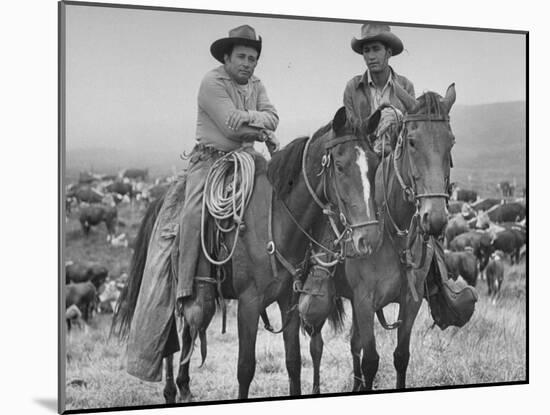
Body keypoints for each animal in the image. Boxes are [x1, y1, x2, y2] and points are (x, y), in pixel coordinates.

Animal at [111, 107, 380, 404]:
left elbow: (294, 363)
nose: (369, 238)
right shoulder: (249, 303)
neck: (276, 219)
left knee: (188, 332)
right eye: (340, 166)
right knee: (170, 334)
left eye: (376, 163)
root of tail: (160, 199)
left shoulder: (289, 301)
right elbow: (245, 368)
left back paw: (184, 387)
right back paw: (171, 390)